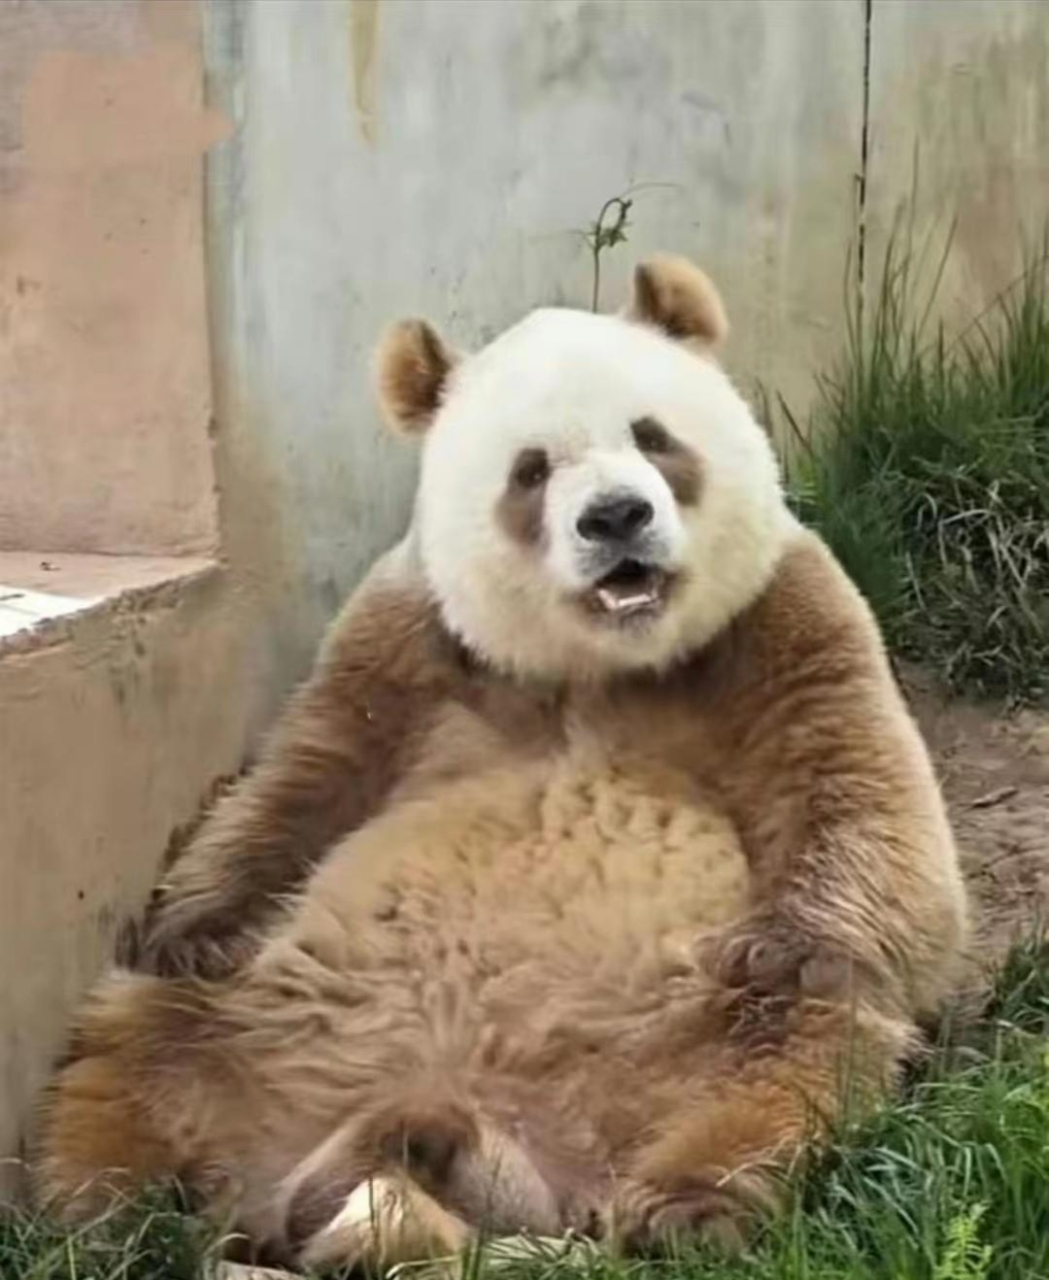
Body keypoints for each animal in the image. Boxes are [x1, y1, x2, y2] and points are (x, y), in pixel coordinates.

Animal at [35, 256, 967, 1273]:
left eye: (652, 436)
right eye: (531, 470)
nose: (617, 517)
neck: (600, 664)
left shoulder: (776, 622)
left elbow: (857, 799)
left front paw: (781, 945)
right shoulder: (408, 639)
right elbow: (301, 778)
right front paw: (194, 925)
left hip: (677, 1043)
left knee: (782, 1063)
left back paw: (681, 1211)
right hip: (260, 1019)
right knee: (140, 1047)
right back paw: (107, 1212)